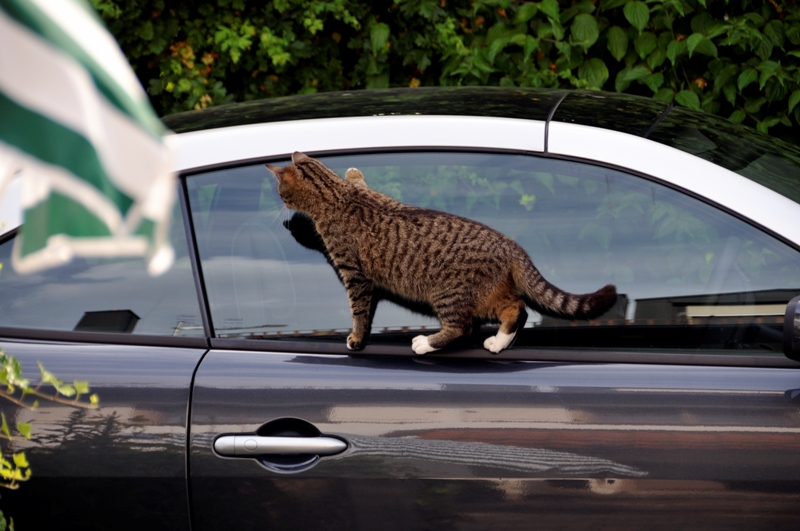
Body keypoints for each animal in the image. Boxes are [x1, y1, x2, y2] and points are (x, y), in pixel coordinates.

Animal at [266, 152, 616, 356]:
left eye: (281, 192)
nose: (280, 204)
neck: (337, 195)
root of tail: (510, 245)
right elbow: (359, 180)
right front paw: (352, 170)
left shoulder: (355, 275)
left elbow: (359, 311)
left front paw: (356, 337)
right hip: (486, 293)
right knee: (516, 309)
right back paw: (500, 340)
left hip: (449, 293)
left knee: (466, 326)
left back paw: (426, 343)